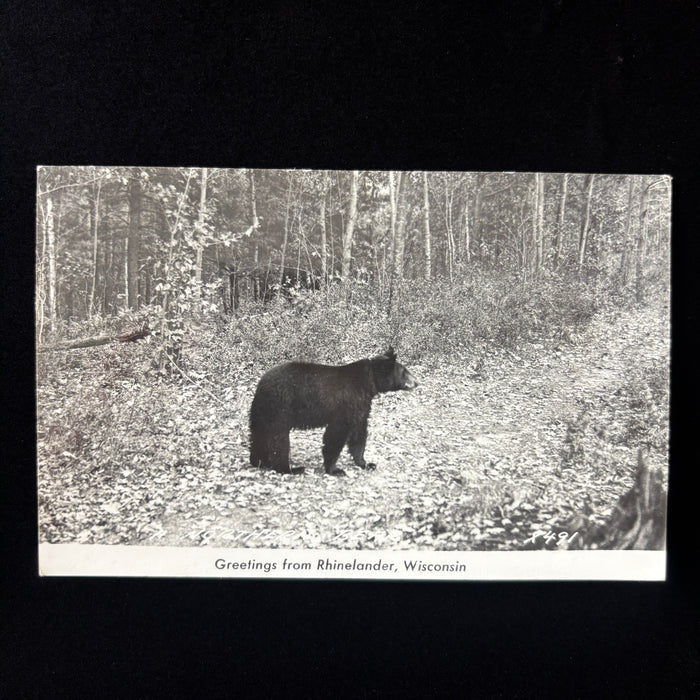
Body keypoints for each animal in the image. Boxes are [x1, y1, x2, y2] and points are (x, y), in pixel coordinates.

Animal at [249, 347, 417, 476]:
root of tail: (261, 385)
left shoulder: (360, 406)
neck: (369, 383)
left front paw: (365, 463)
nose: (417, 382)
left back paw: (259, 461)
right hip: (281, 407)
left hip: (262, 412)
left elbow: (359, 432)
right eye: (405, 371)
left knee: (258, 435)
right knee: (279, 439)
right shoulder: (346, 404)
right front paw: (335, 469)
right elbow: (336, 435)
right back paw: (290, 468)